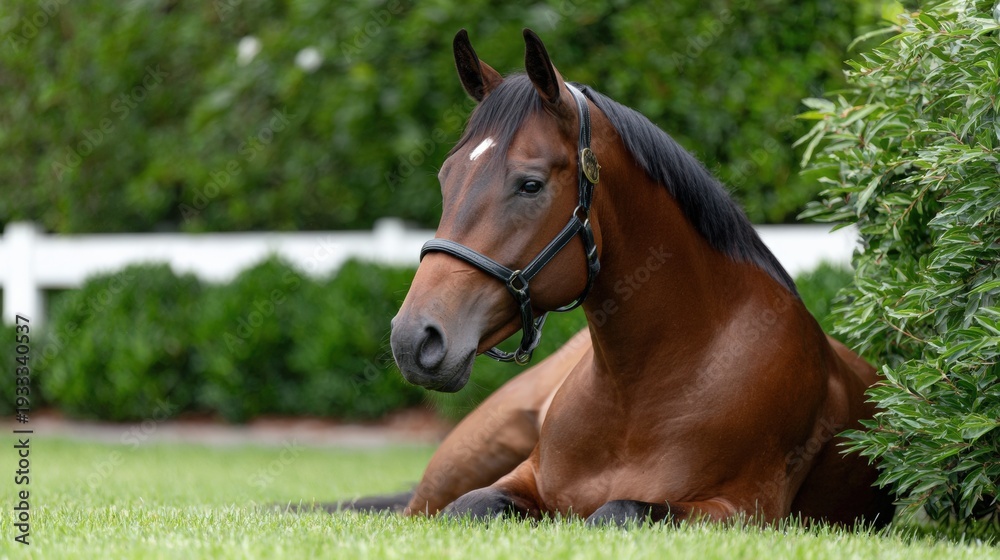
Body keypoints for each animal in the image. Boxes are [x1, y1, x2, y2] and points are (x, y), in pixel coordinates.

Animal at [384, 28, 895, 527]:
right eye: (446, 177)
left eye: (530, 184)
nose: (414, 338)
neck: (636, 393)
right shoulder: (523, 478)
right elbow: (470, 507)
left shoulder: (742, 509)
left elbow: (617, 511)